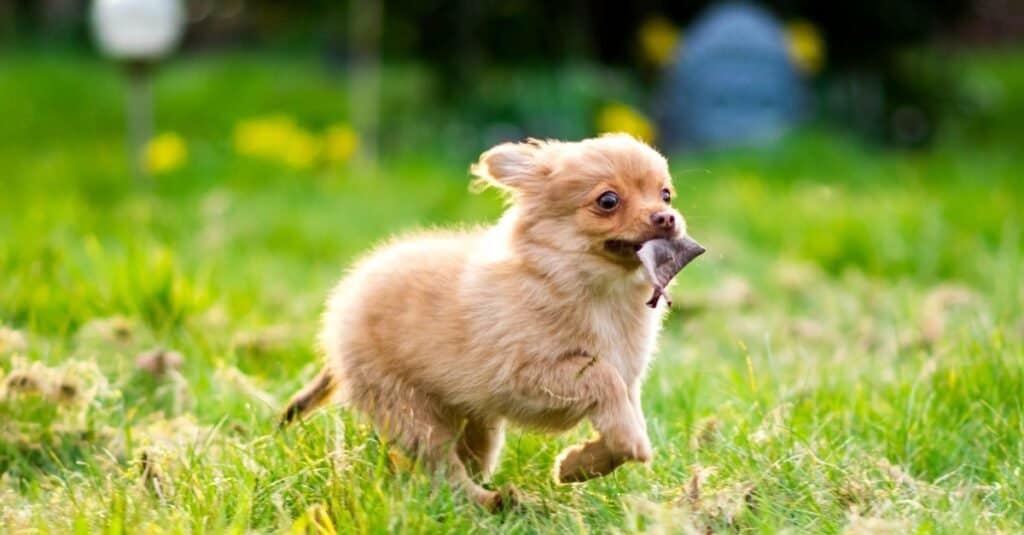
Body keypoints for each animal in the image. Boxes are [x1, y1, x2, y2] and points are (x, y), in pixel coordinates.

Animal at [280, 132, 696, 508]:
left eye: (665, 195)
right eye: (608, 201)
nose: (667, 217)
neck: (598, 292)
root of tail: (343, 300)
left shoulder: (628, 381)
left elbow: (626, 426)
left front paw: (577, 466)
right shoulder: (526, 374)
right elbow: (603, 381)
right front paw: (610, 450)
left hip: (477, 423)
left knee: (465, 462)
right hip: (409, 411)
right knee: (445, 474)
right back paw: (491, 502)